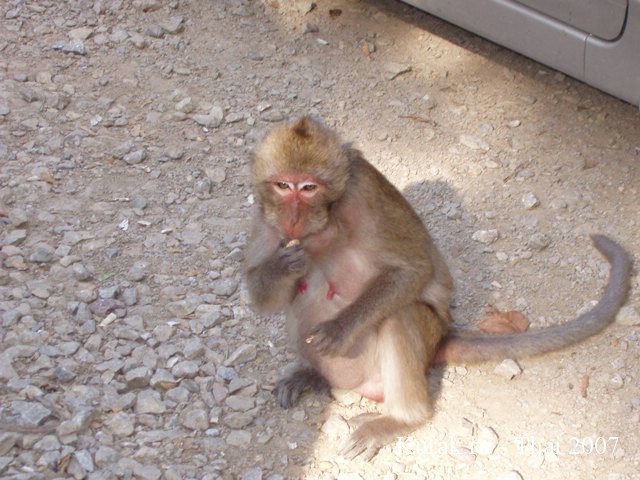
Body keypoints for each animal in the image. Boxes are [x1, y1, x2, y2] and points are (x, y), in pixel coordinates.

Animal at [244, 116, 632, 461]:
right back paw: (312, 373)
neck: (329, 220)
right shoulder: (267, 215)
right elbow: (262, 296)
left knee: (400, 314)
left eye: (309, 187)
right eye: (283, 186)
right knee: (302, 289)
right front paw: (282, 265)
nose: (293, 218)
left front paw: (338, 329)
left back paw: (402, 419)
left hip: (422, 339)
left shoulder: (363, 193)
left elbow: (414, 270)